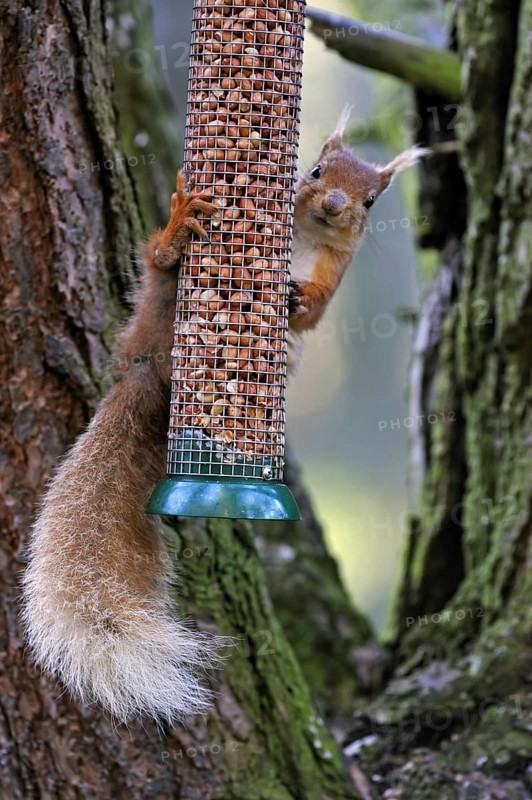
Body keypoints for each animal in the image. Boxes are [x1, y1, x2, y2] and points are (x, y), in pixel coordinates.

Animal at [22, 113, 424, 725]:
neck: (307, 238)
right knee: (160, 262)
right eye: (316, 171)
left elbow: (314, 312)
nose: (335, 204)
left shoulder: (334, 275)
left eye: (371, 200)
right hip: (167, 296)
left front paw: (296, 298)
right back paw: (178, 229)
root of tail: (146, 369)